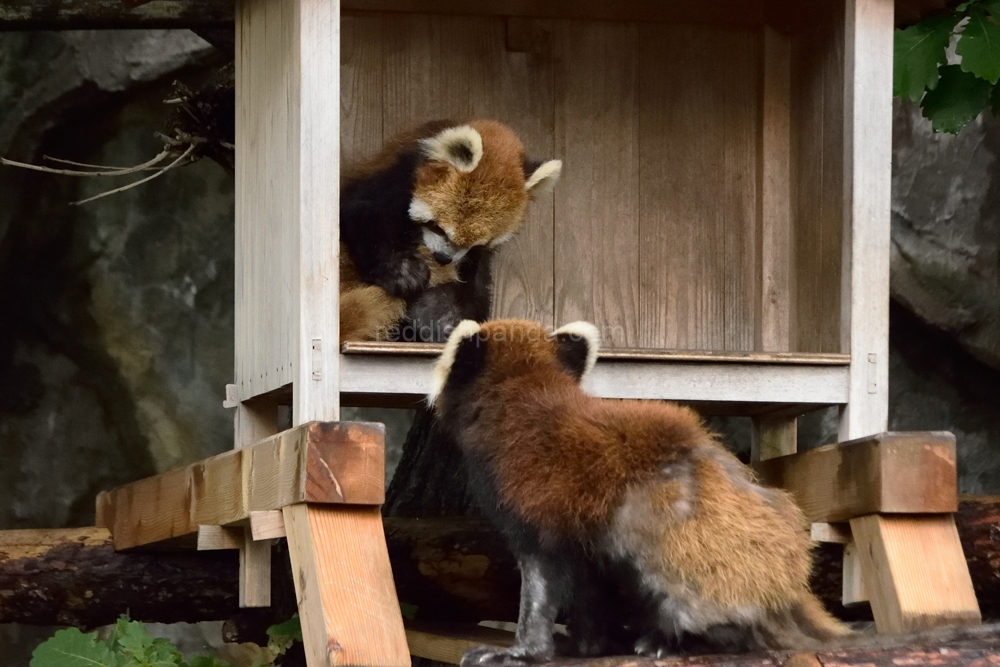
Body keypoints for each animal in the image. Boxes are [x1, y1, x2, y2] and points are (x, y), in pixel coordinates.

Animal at [334, 120, 556, 342]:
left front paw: (440, 315)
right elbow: (361, 213)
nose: (443, 257)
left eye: (476, 244)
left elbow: (475, 283)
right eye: (437, 227)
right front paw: (403, 271)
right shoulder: (393, 177)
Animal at [426, 320, 848, 664]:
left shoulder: (533, 500)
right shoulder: (583, 534)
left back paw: (670, 641)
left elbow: (539, 584)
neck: (521, 392)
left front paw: (521, 651)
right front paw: (584, 645)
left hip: (685, 544)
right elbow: (587, 589)